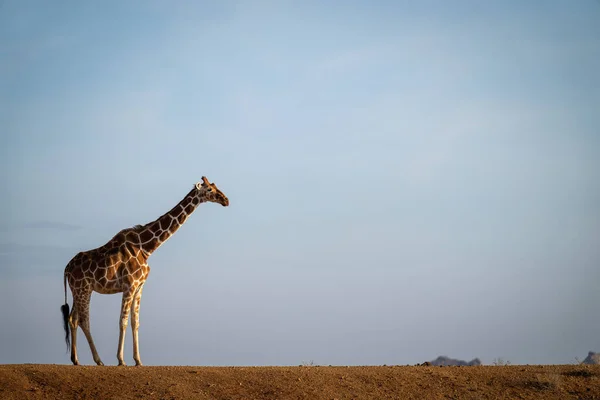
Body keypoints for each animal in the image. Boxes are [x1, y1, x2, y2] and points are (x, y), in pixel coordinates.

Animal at [59, 177, 227, 366]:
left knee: (72, 319)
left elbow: (135, 322)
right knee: (83, 320)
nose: (225, 200)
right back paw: (98, 360)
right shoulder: (129, 285)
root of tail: (66, 268)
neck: (146, 247)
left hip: (77, 290)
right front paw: (121, 360)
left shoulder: (139, 286)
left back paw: (76, 359)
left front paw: (138, 360)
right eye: (210, 189)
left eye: (215, 186)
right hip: (84, 289)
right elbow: (123, 321)